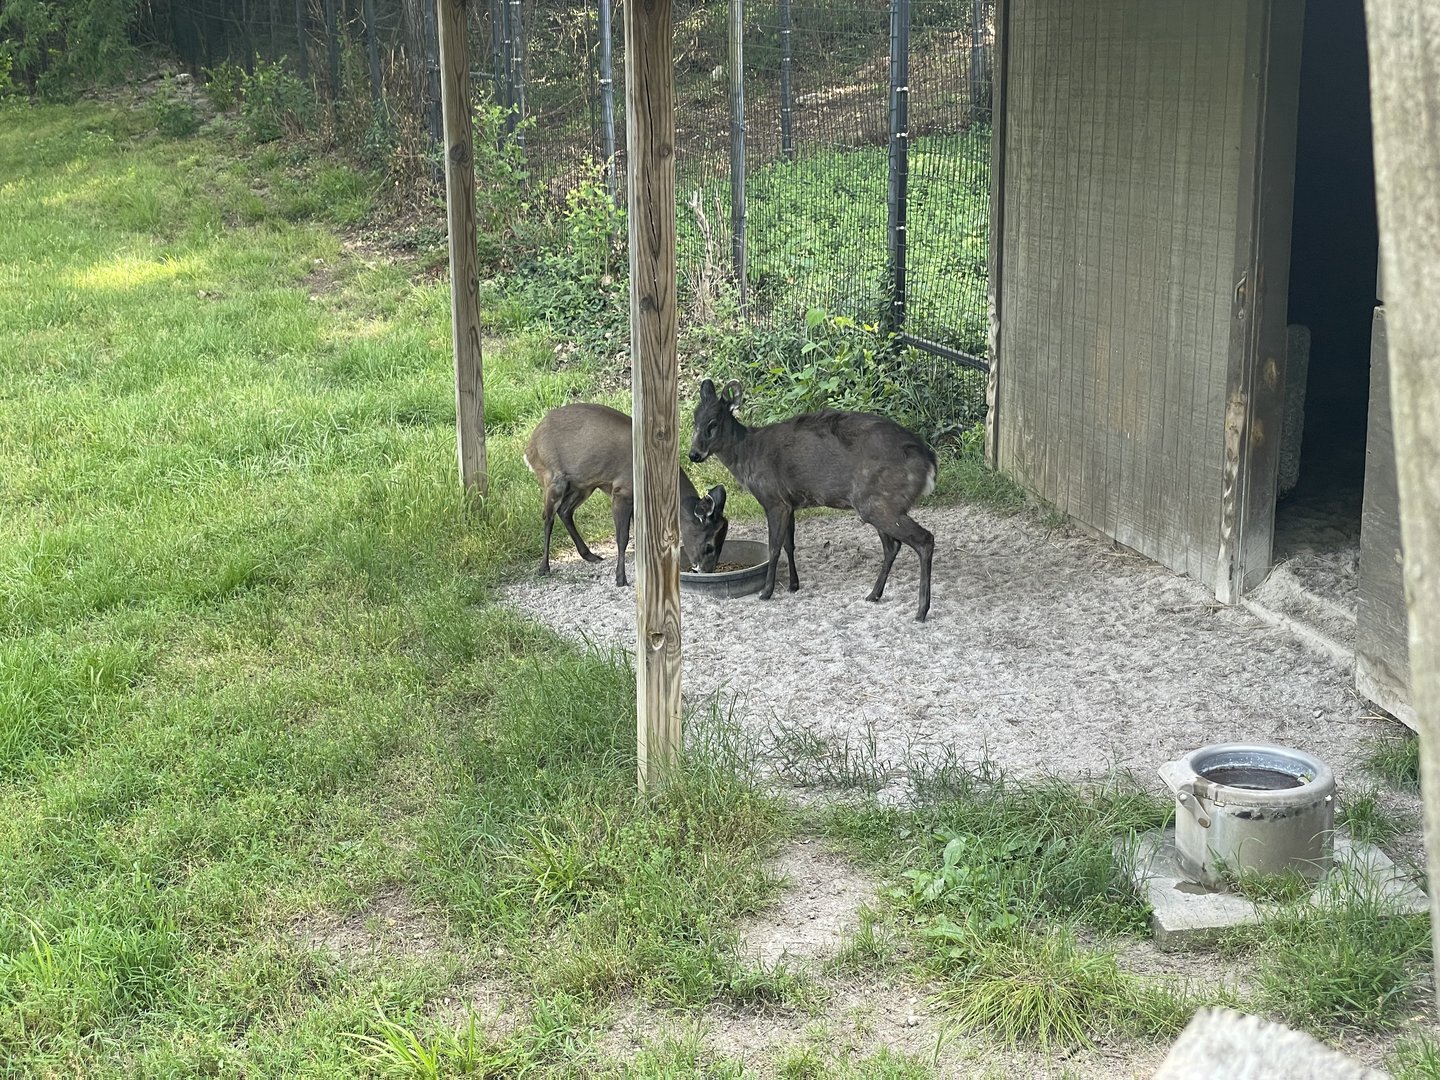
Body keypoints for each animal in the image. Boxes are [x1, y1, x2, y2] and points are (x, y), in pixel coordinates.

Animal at [525, 402, 729, 587]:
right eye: (709, 546)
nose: (706, 570)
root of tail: (530, 447)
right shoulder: (622, 492)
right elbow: (623, 538)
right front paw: (621, 579)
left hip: (583, 484)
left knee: (565, 511)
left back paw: (590, 555)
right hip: (553, 477)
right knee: (548, 517)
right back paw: (544, 567)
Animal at [688, 379, 937, 620]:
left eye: (713, 423)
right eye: (695, 420)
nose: (694, 454)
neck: (748, 455)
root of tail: (929, 462)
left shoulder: (773, 499)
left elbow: (774, 548)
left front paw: (766, 592)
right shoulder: (789, 503)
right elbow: (789, 545)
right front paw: (793, 585)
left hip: (878, 501)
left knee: (924, 539)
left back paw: (921, 611)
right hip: (879, 504)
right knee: (893, 545)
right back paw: (874, 595)